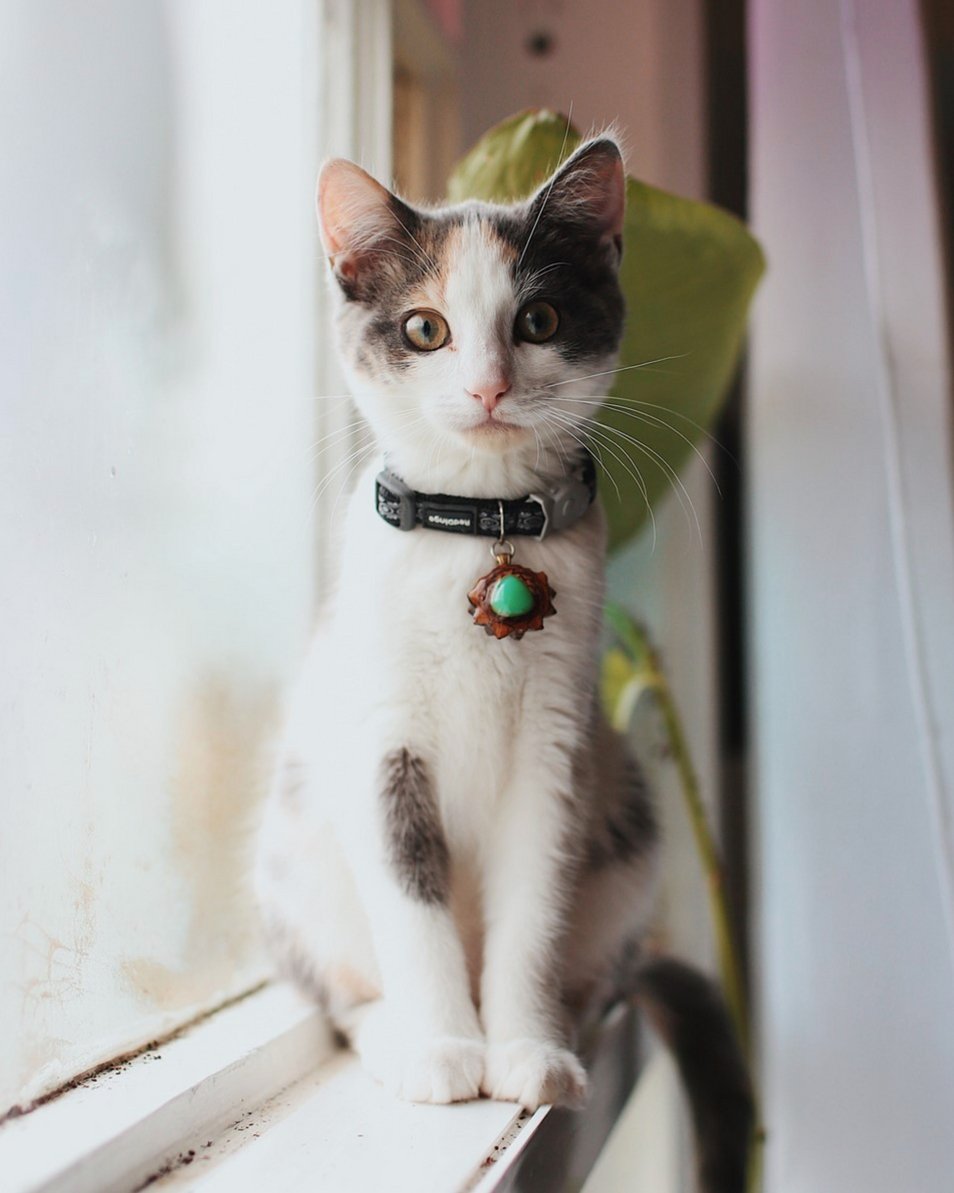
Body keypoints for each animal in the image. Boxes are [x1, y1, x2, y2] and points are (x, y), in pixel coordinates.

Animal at [252, 137, 753, 1183]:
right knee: (342, 984)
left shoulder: (557, 745)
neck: (479, 523)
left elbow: (533, 904)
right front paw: (447, 1048)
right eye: (425, 327)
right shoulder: (382, 741)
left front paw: (524, 1049)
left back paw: (566, 1017)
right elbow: (412, 899)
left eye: (540, 320)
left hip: (626, 824)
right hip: (293, 856)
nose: (487, 385)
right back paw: (392, 1031)